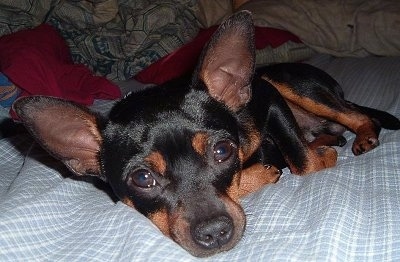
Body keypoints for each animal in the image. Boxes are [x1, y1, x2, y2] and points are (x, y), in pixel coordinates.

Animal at [12, 11, 400, 256]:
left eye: (223, 151)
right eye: (142, 178)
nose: (214, 234)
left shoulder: (269, 99)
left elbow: (304, 164)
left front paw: (295, 163)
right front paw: (260, 173)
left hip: (292, 85)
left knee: (359, 115)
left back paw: (360, 136)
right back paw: (327, 140)